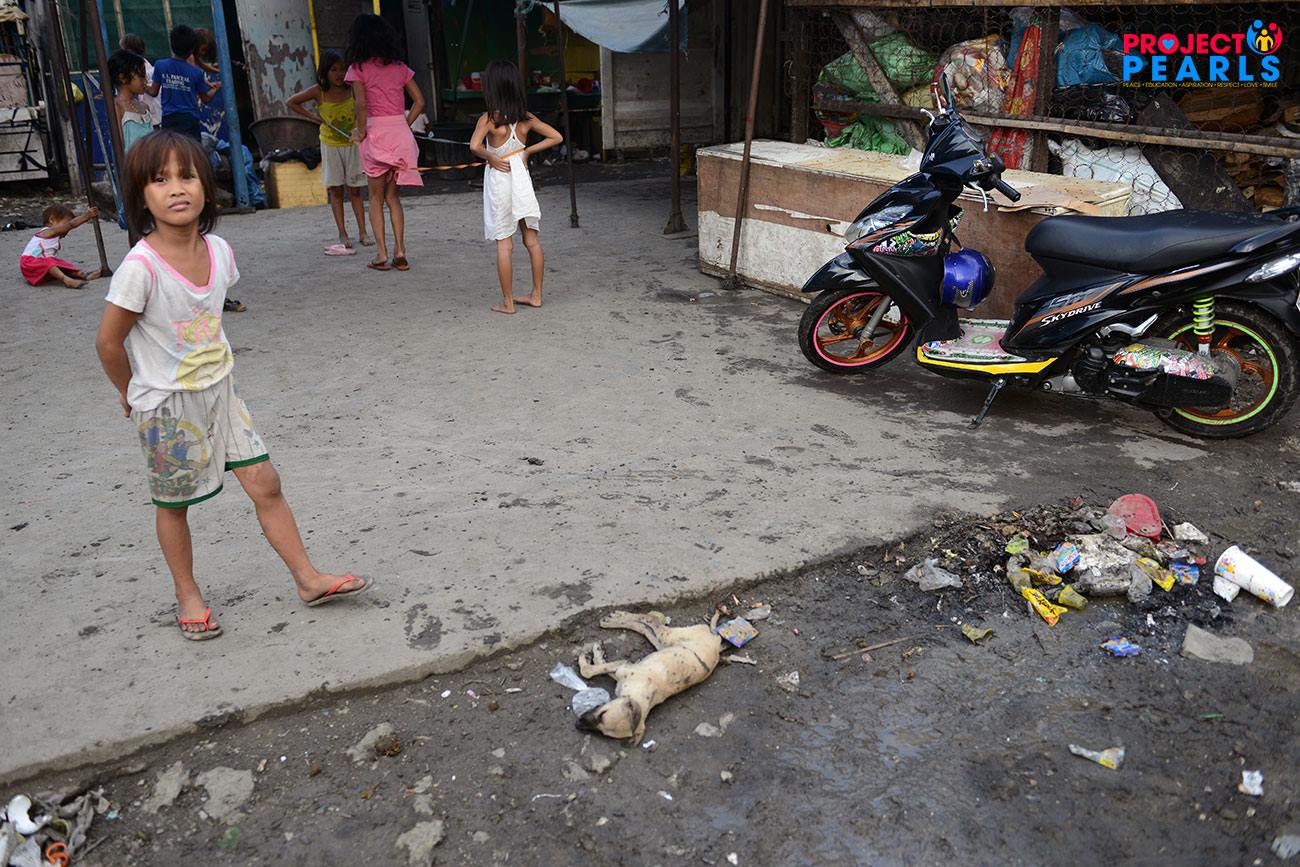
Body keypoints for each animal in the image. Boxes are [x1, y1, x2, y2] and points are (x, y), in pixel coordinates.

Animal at [576, 610, 722, 744]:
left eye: (603, 731)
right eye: (602, 714)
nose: (578, 724)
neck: (639, 696)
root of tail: (717, 639)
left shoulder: (622, 668)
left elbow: (588, 670)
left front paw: (591, 657)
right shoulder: (624, 666)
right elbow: (598, 667)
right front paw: (596, 652)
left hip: (665, 641)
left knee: (647, 625)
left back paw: (615, 620)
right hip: (667, 640)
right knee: (648, 620)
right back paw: (616, 618)